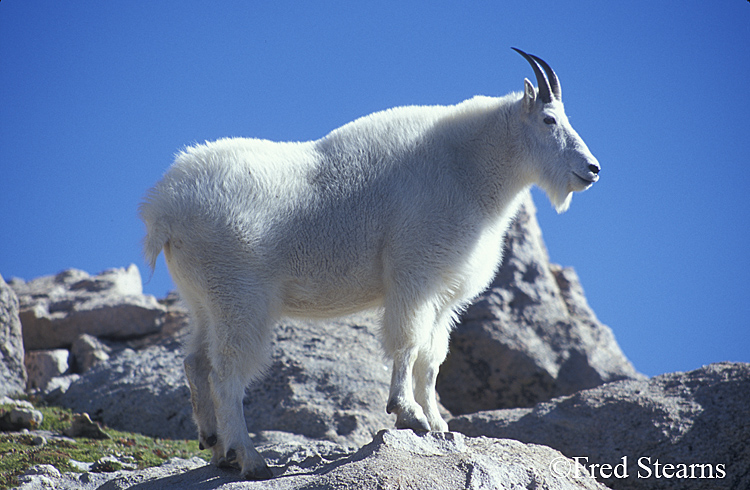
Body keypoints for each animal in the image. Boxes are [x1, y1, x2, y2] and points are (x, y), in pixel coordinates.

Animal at [138, 47, 604, 478]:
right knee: (227, 372)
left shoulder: (444, 294)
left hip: (203, 297)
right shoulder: (414, 274)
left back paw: (217, 448)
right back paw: (249, 458)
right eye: (549, 120)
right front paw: (408, 414)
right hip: (239, 295)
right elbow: (408, 343)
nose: (593, 169)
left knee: (196, 362)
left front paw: (439, 425)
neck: (469, 168)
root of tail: (163, 207)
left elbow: (432, 359)